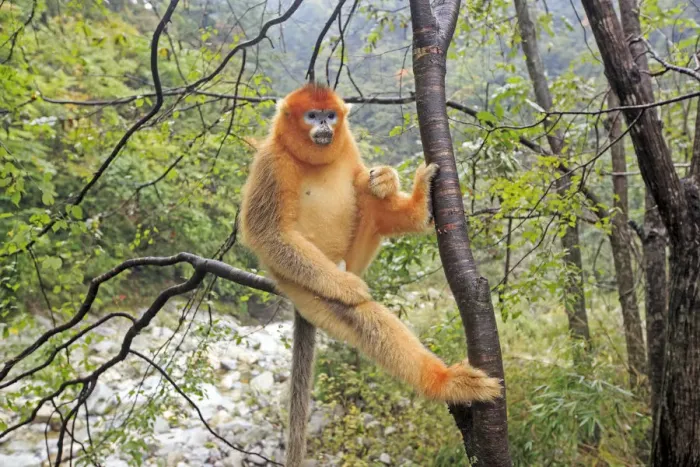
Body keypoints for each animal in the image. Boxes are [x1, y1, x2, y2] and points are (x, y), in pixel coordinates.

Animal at [239, 83, 502, 466]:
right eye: (311, 115)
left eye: (330, 115)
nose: (324, 125)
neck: (313, 159)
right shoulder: (271, 162)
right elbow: (268, 233)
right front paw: (346, 287)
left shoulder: (348, 146)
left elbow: (365, 181)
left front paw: (388, 180)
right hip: (300, 283)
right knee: (357, 313)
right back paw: (443, 381)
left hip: (355, 255)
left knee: (367, 188)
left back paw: (417, 207)